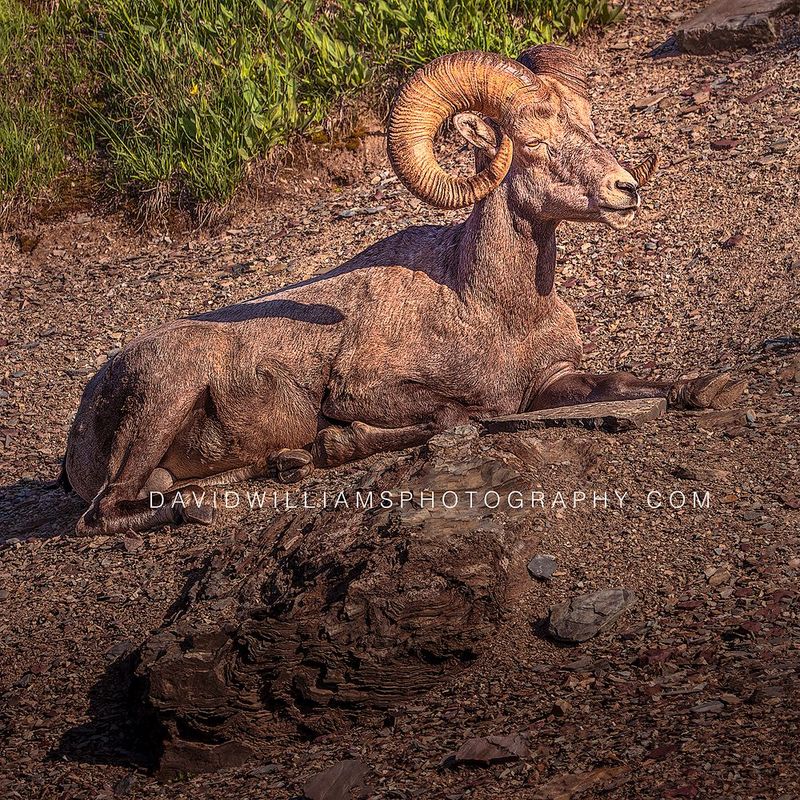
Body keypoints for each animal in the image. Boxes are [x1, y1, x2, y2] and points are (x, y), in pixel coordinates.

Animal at [62, 46, 745, 534]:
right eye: (535, 144)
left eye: (590, 127)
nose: (626, 189)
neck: (490, 308)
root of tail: (81, 426)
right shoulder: (364, 388)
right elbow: (459, 419)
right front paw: (339, 441)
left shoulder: (553, 381)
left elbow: (628, 381)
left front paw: (705, 388)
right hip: (165, 397)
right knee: (105, 512)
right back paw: (212, 505)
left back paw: (282, 464)